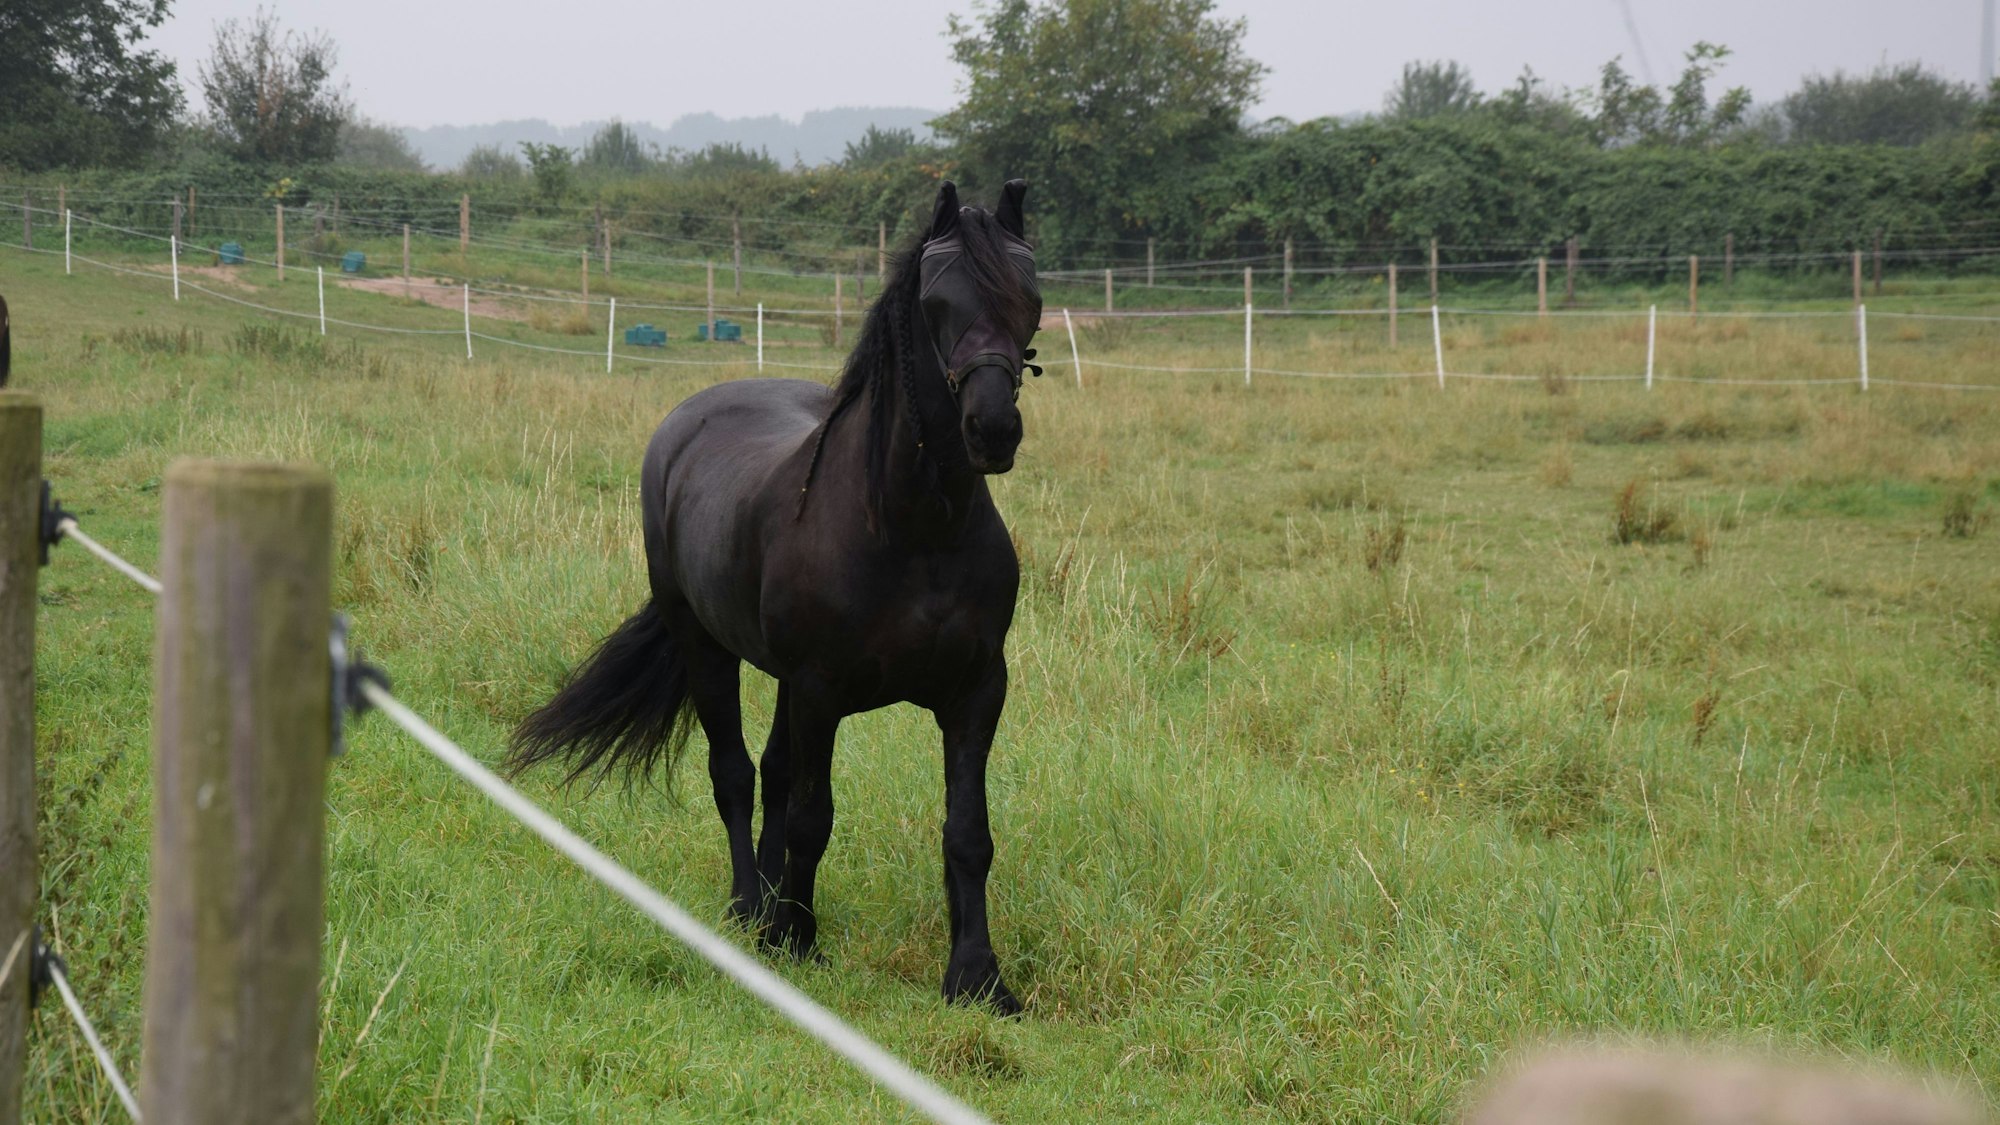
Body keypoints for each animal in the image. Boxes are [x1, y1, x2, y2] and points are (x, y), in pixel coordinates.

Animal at [506, 180, 1043, 1014]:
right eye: (936, 301)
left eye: (1032, 298)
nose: (992, 428)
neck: (916, 530)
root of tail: (687, 421)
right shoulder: (822, 689)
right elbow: (811, 816)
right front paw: (797, 938)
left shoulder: (977, 691)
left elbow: (967, 831)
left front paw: (978, 976)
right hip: (707, 647)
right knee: (734, 771)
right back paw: (748, 907)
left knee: (774, 770)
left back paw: (765, 907)